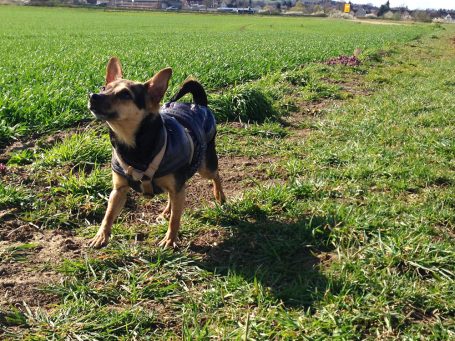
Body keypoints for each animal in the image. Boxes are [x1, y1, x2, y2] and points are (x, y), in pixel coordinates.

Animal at [87, 55, 226, 247]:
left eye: (125, 94)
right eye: (103, 88)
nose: (93, 95)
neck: (133, 146)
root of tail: (200, 105)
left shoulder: (178, 186)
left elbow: (176, 219)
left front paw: (169, 239)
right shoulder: (118, 190)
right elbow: (108, 215)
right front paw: (101, 236)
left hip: (204, 167)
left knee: (215, 175)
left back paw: (220, 196)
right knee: (171, 197)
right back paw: (167, 210)